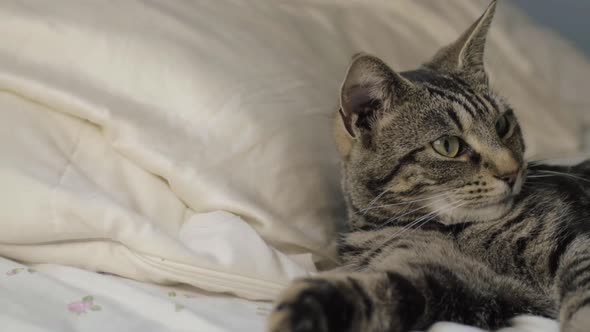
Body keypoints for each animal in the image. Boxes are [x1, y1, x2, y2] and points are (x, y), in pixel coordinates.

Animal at [268, 1, 590, 330]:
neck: (455, 231)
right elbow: (385, 291)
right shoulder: (455, 282)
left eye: (502, 124)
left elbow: (583, 298)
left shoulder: (574, 242)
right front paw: (301, 307)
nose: (512, 171)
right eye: (448, 146)